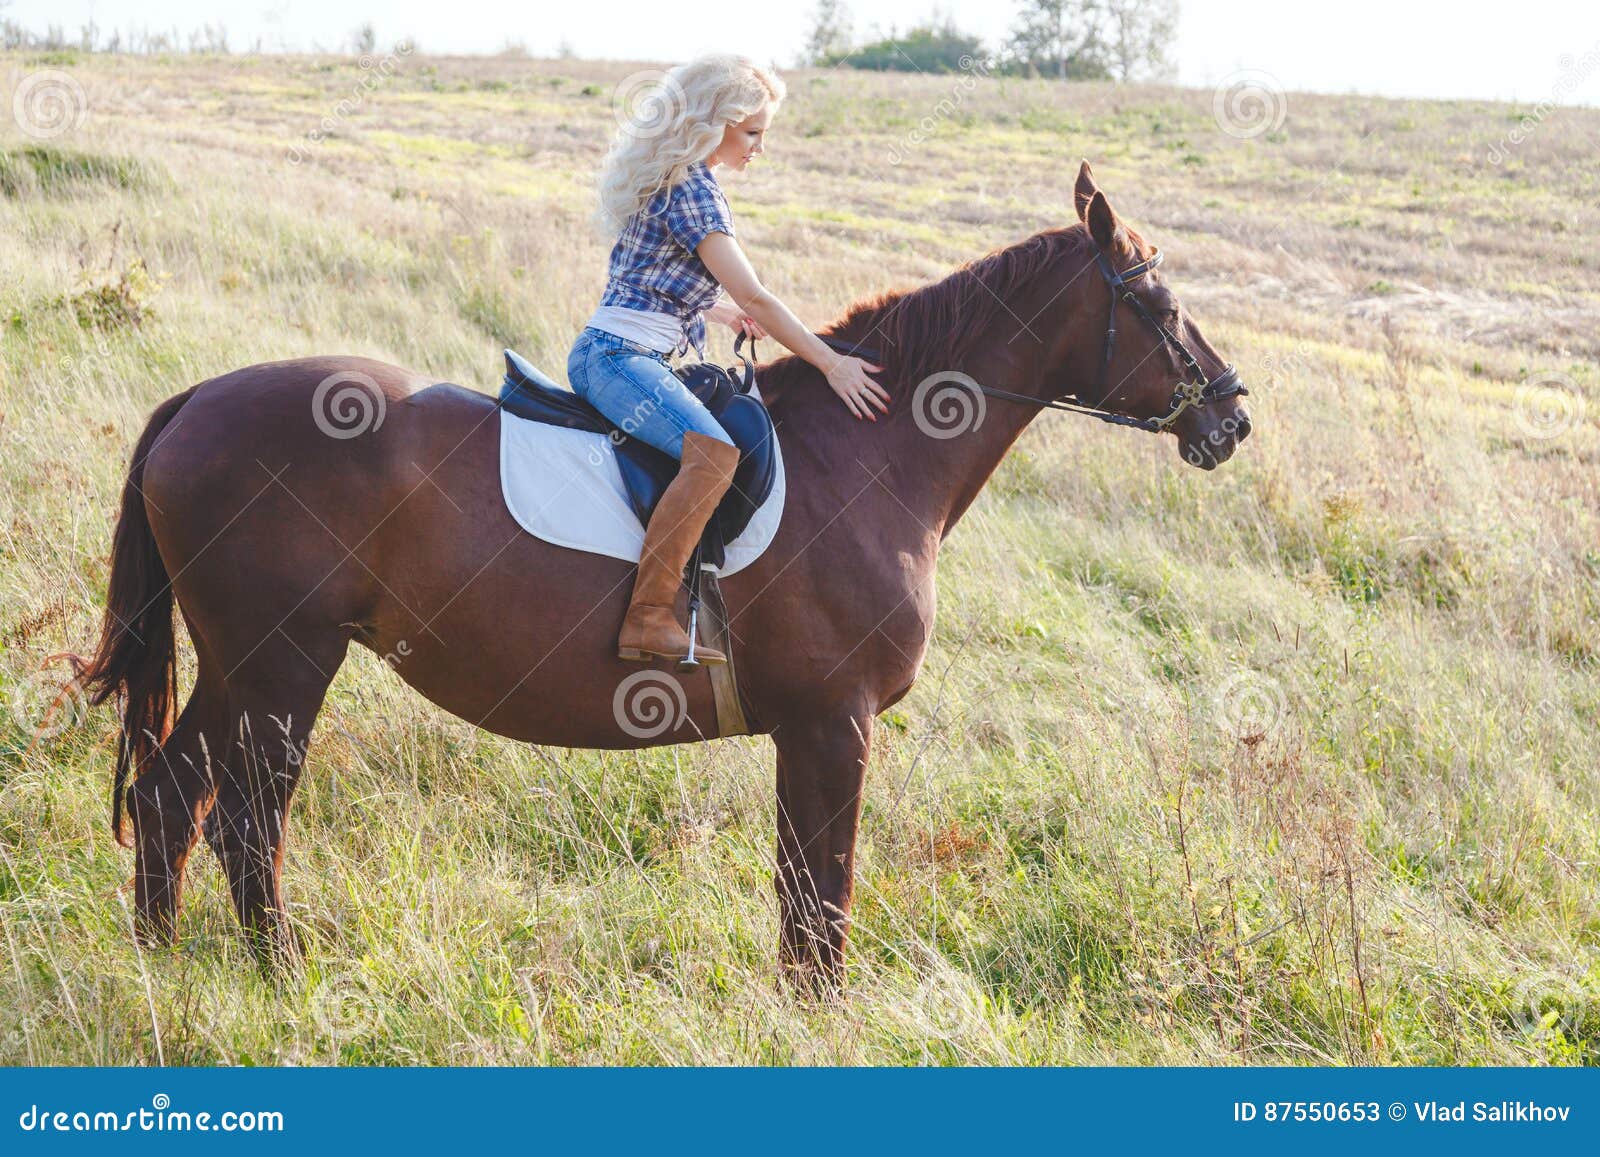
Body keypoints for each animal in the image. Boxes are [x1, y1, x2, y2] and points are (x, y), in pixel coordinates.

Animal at [72, 167, 1248, 992]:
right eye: (1157, 300)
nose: (1231, 416)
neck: (869, 452)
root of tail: (199, 400)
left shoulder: (810, 729)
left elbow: (800, 895)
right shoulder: (834, 723)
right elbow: (822, 896)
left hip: (240, 663)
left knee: (170, 796)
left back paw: (158, 963)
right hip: (282, 662)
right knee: (246, 817)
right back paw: (277, 978)